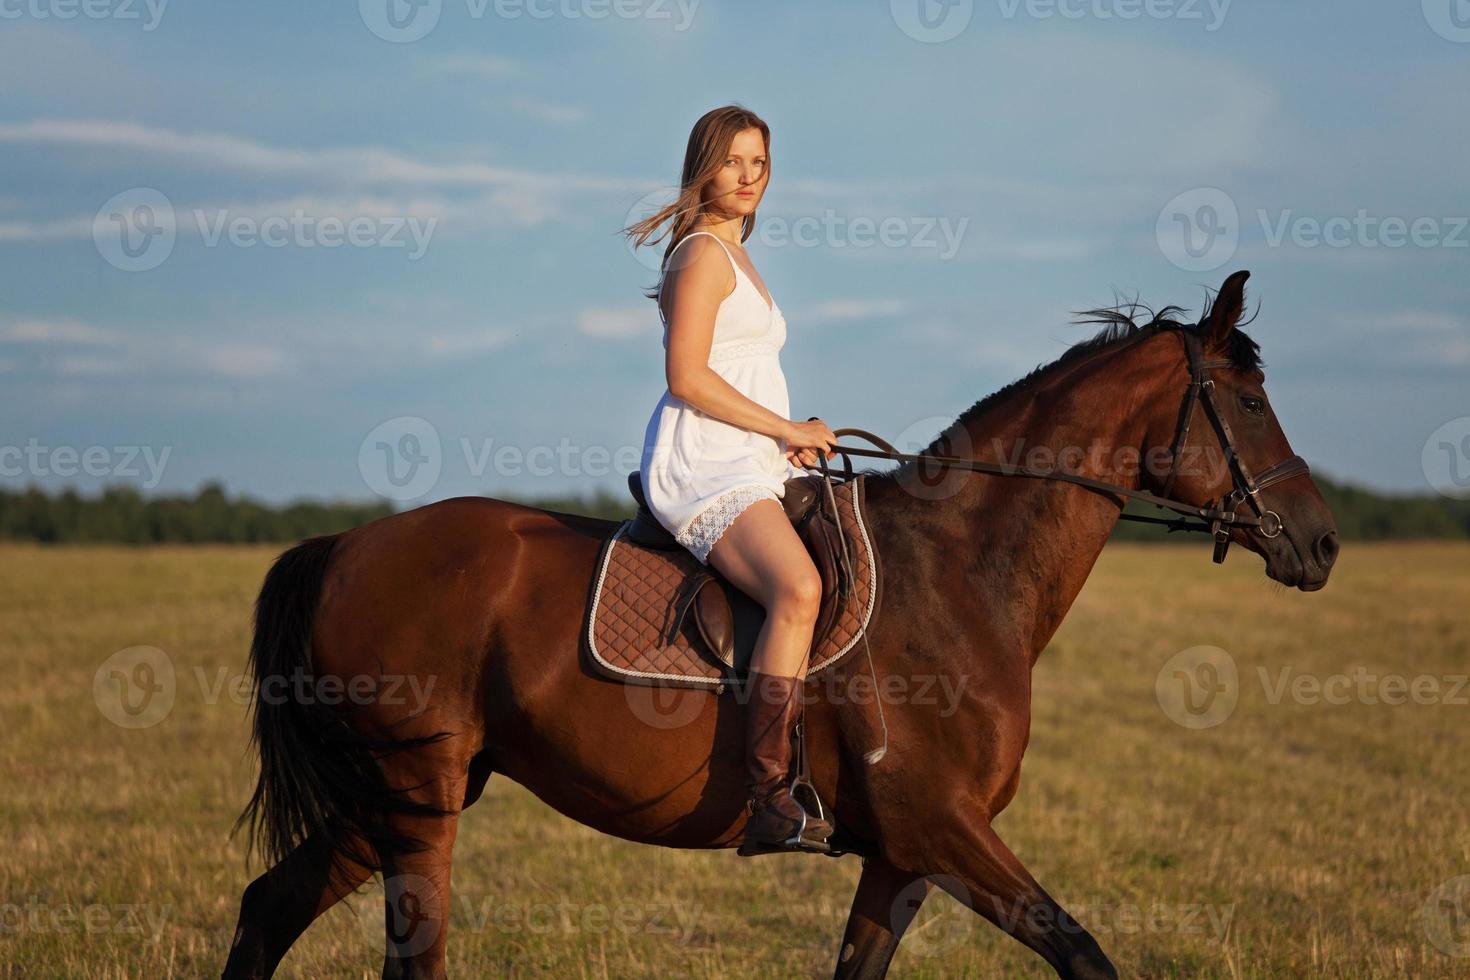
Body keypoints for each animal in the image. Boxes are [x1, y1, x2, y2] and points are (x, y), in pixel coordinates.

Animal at [223, 271, 1340, 980]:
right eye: (1247, 400)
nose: (1323, 543)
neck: (958, 576)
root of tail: (345, 547)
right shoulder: (941, 826)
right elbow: (1084, 951)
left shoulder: (902, 857)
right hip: (415, 798)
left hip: (396, 797)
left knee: (266, 908)